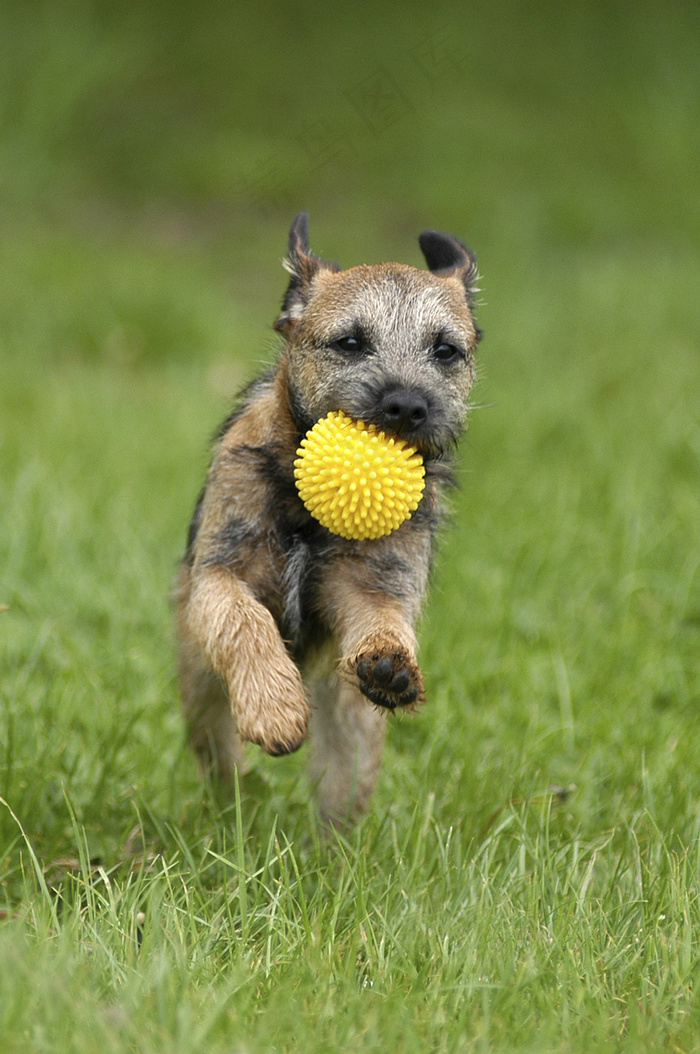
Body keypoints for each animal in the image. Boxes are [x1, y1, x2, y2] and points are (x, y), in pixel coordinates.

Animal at [175, 213, 480, 822]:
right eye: (351, 343)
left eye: (445, 351)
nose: (407, 404)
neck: (305, 510)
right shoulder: (218, 576)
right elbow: (246, 620)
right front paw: (273, 708)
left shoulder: (370, 584)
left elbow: (381, 617)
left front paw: (388, 662)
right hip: (200, 685)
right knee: (219, 750)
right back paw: (238, 802)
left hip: (351, 729)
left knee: (339, 787)